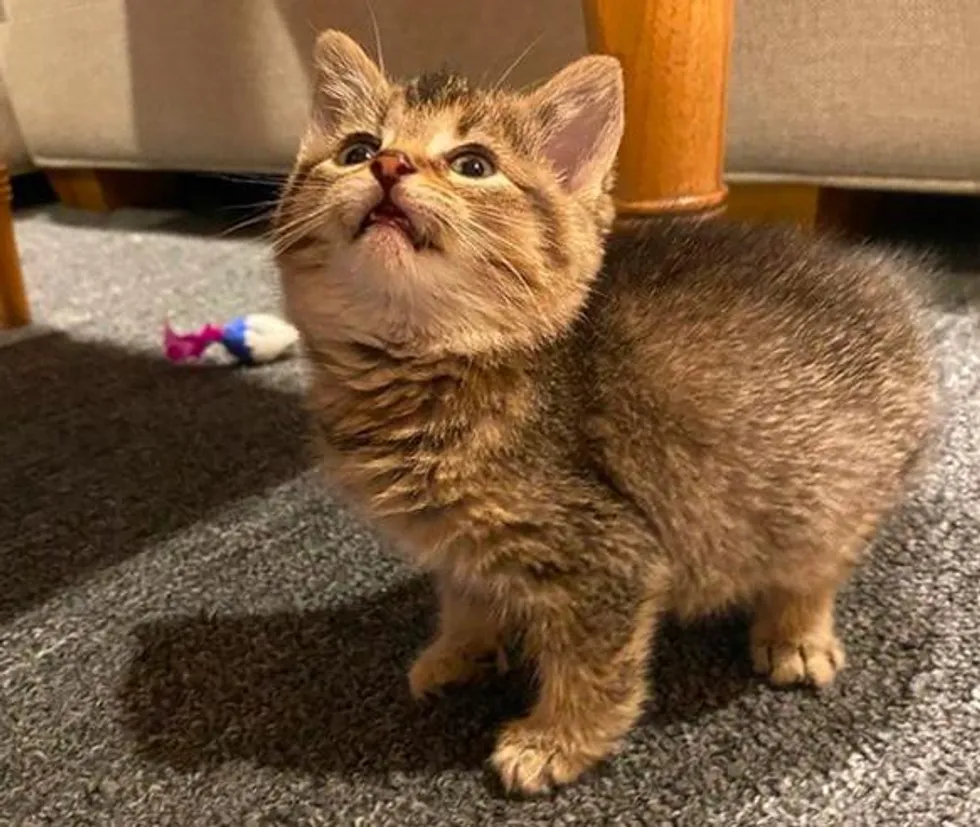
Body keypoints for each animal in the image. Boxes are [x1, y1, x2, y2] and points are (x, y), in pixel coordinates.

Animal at [274, 30, 936, 796]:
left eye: (474, 164)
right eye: (355, 149)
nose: (389, 164)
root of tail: (886, 292)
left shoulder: (609, 556)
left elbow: (594, 666)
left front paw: (556, 740)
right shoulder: (463, 547)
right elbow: (466, 597)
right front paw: (461, 651)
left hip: (829, 492)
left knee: (818, 564)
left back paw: (795, 634)